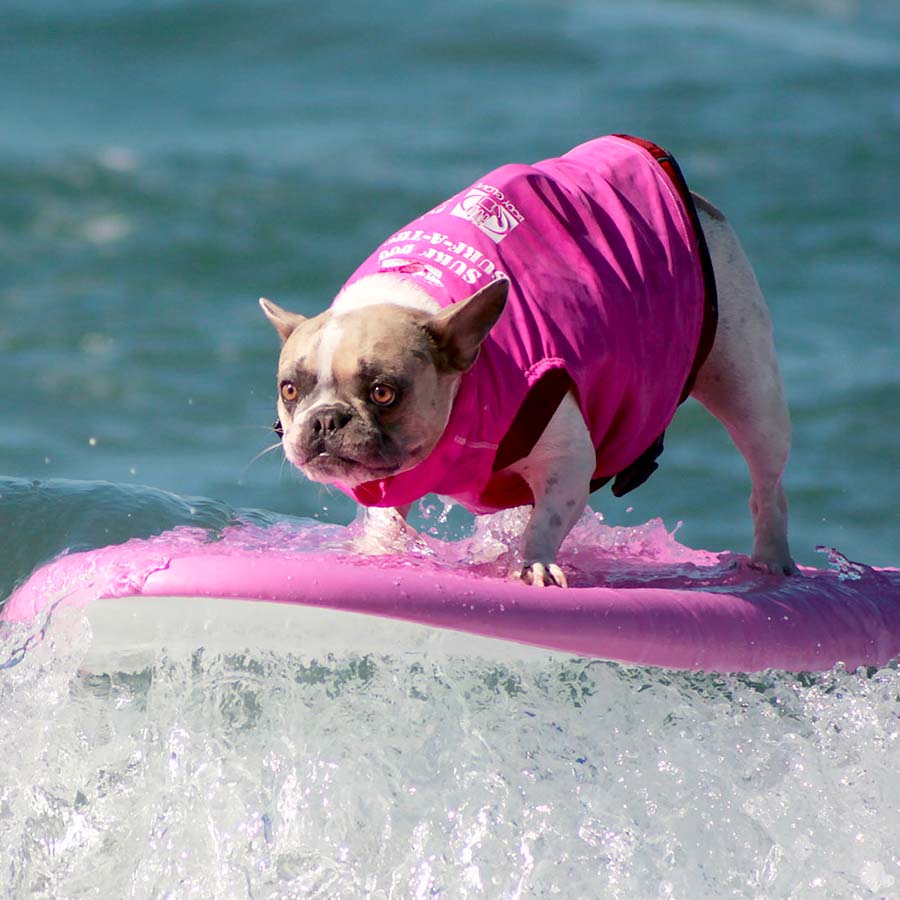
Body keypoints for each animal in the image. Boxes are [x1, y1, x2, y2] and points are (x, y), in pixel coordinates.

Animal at [260, 134, 796, 588]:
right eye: (290, 389)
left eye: (383, 392)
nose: (325, 419)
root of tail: (697, 201)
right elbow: (390, 516)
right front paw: (379, 549)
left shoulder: (566, 455)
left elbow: (547, 519)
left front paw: (533, 563)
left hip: (748, 386)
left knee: (765, 478)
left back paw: (772, 559)